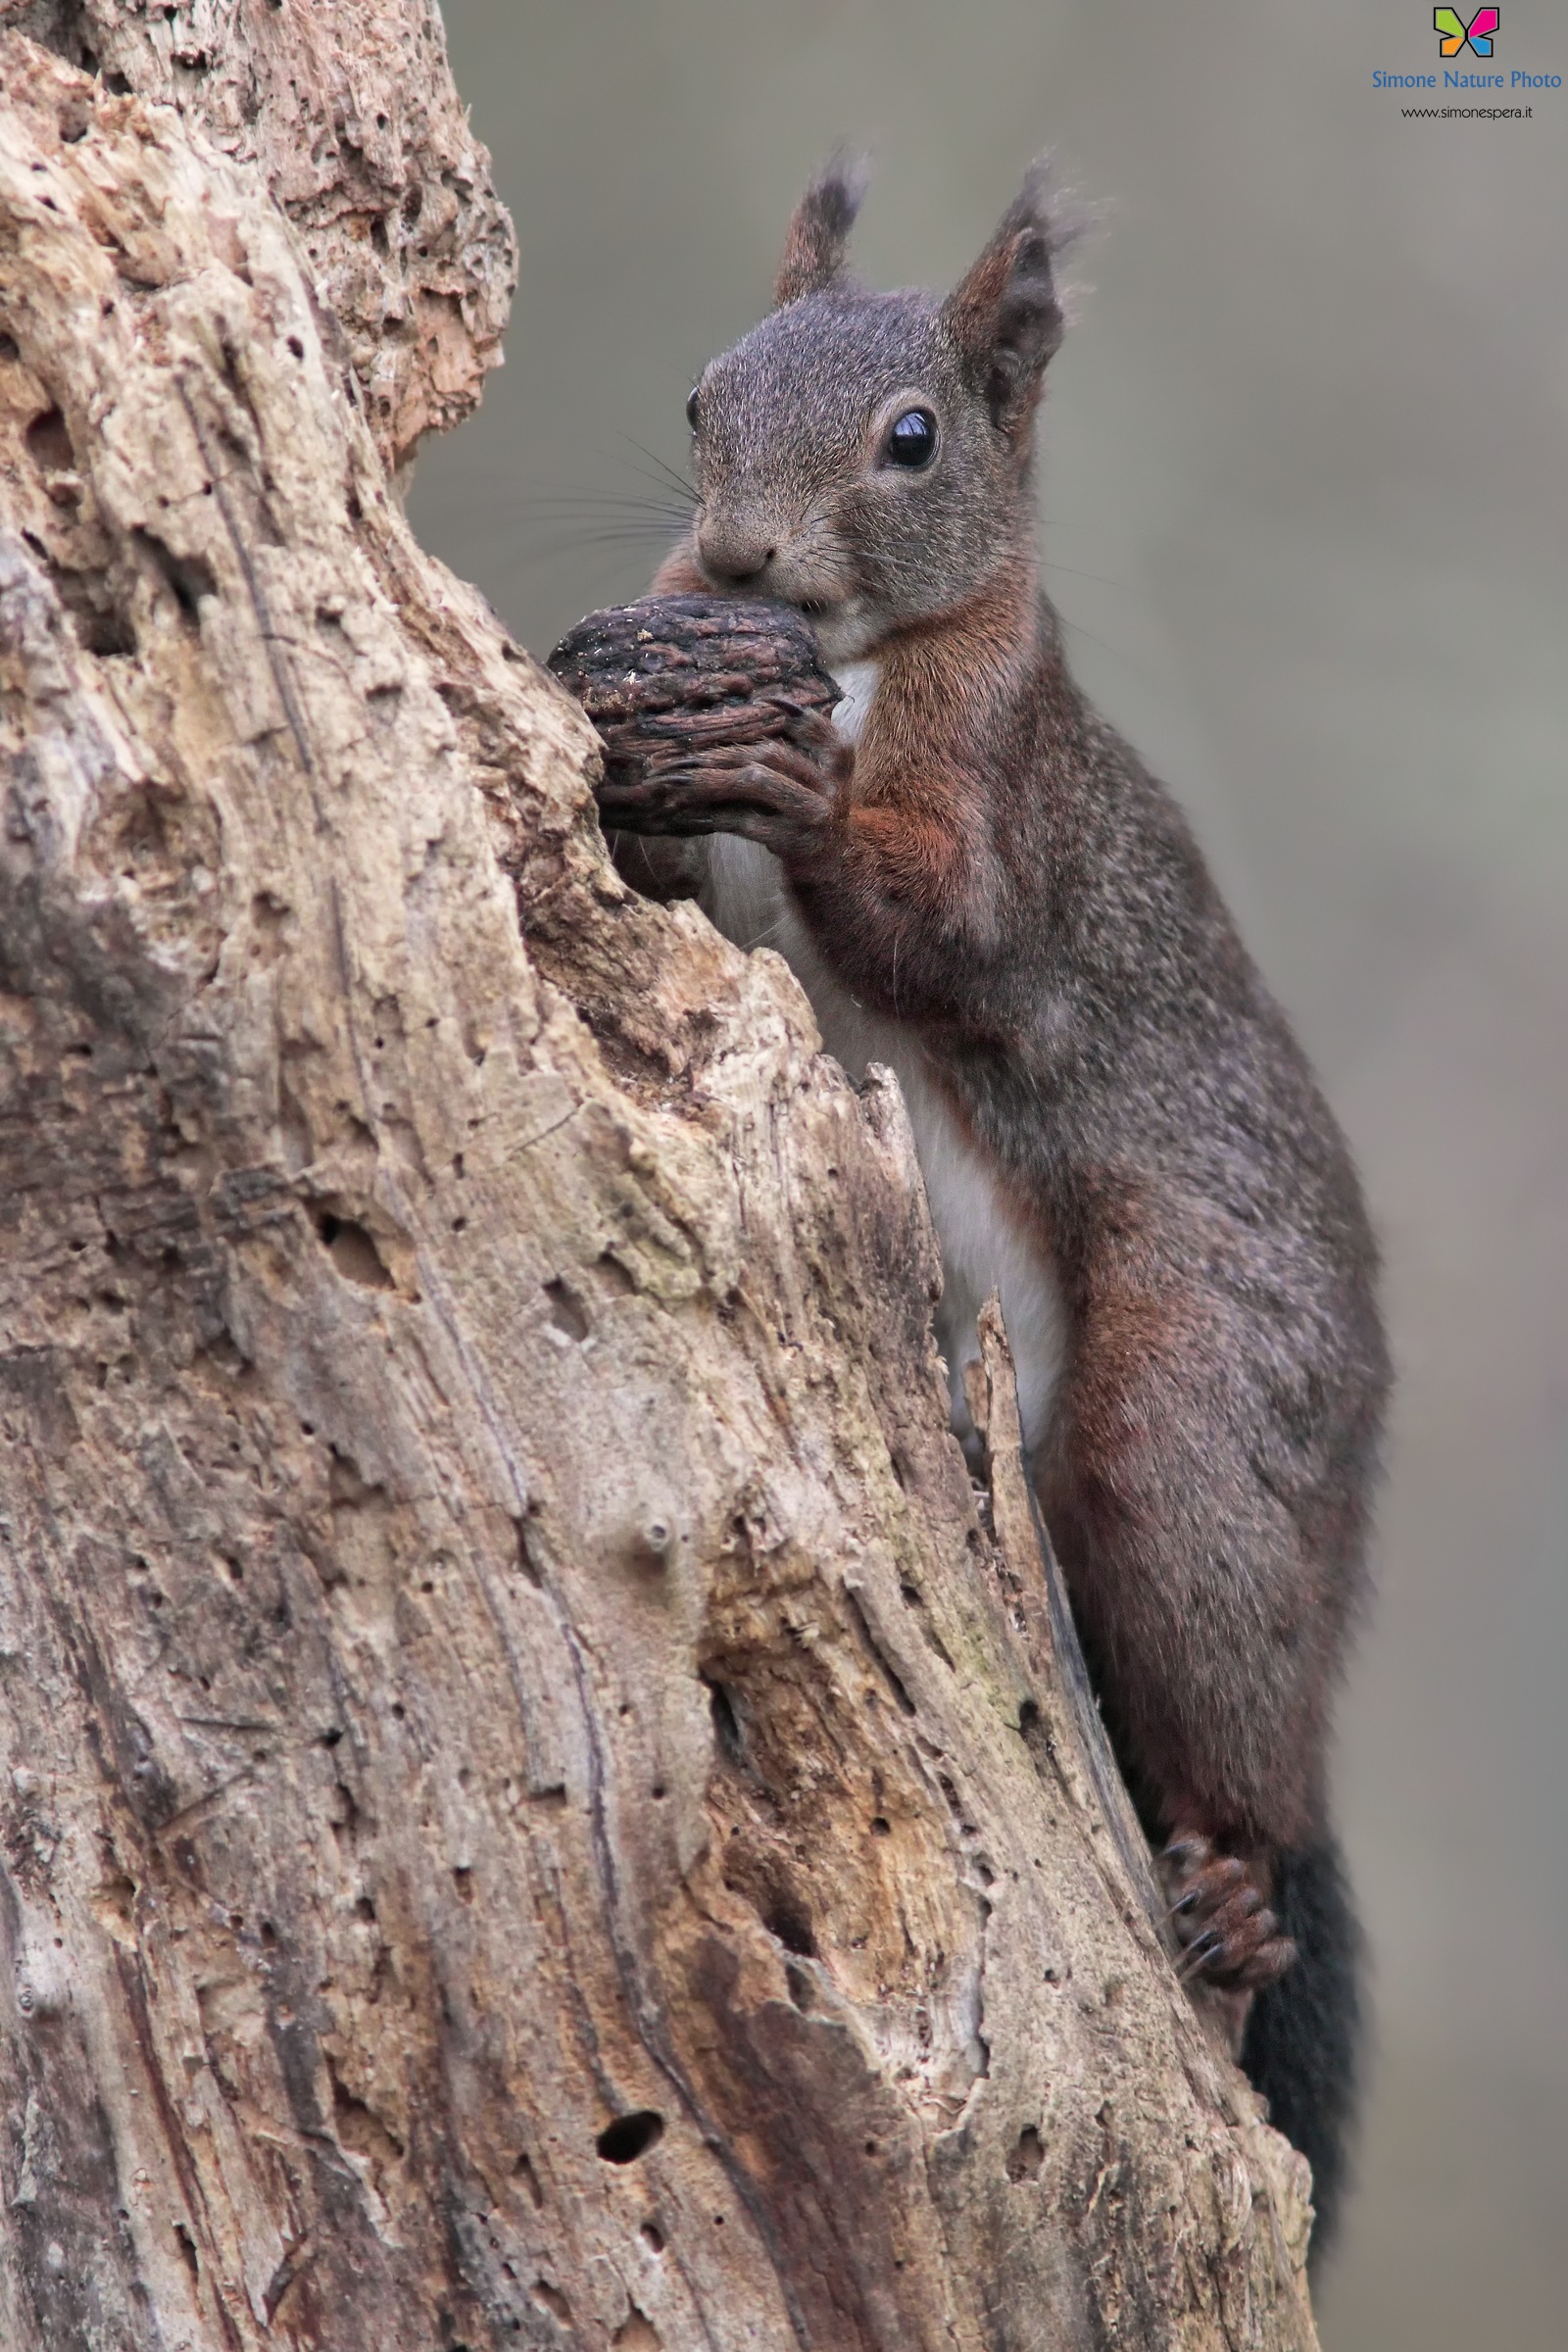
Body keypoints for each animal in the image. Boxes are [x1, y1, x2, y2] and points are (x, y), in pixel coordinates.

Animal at [594, 155, 1390, 2258]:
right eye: (698, 396)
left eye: (914, 438)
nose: (742, 562)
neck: (867, 654)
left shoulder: (1000, 796)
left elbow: (951, 936)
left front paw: (793, 779)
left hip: (1193, 1420)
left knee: (1229, 1684)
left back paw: (1236, 1888)